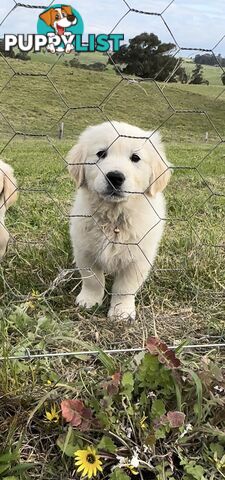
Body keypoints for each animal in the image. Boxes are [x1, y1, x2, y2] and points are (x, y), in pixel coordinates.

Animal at [67, 122, 171, 320]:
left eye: (135, 158)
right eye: (101, 154)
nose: (115, 177)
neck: (114, 217)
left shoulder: (138, 258)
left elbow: (125, 287)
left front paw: (121, 311)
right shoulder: (85, 251)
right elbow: (92, 280)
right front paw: (89, 300)